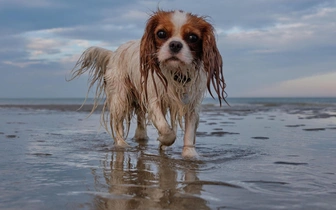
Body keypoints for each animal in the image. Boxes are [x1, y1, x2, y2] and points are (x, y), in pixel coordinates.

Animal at [67, 9, 227, 158]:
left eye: (193, 37)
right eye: (161, 34)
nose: (175, 44)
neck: (176, 73)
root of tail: (114, 53)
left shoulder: (192, 105)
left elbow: (189, 132)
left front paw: (189, 155)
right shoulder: (154, 100)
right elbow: (166, 130)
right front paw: (163, 139)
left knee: (140, 117)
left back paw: (141, 137)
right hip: (120, 97)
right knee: (118, 125)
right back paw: (122, 145)